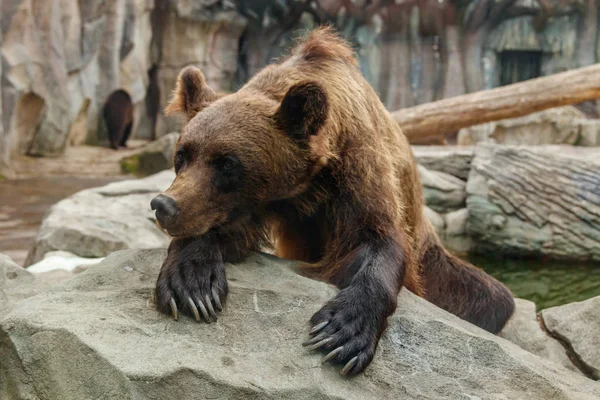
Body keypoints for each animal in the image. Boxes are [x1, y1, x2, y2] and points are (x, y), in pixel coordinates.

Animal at [151, 26, 516, 376]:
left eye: (227, 163)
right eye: (182, 155)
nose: (163, 205)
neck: (303, 188)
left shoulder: (357, 168)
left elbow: (378, 241)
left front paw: (342, 331)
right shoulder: (256, 206)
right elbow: (220, 234)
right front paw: (193, 285)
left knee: (492, 299)